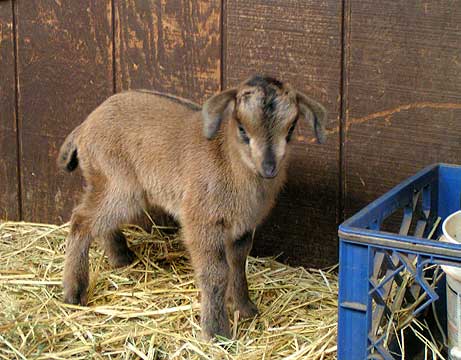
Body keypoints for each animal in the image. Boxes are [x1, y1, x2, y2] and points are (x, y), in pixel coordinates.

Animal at [57, 74, 326, 338]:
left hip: (110, 185)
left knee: (97, 221)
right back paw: (74, 293)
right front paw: (216, 332)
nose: (269, 168)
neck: (229, 160)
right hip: (118, 184)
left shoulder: (242, 227)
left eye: (290, 129)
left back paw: (121, 258)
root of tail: (84, 127)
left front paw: (246, 309)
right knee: (81, 219)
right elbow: (215, 273)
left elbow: (238, 264)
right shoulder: (202, 220)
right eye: (242, 128)